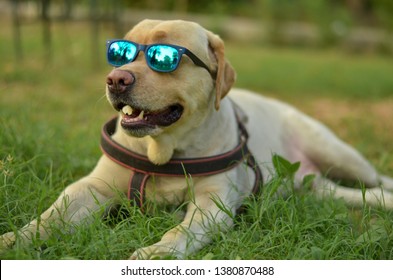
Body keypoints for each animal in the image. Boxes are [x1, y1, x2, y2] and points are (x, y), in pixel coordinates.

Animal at [0, 20, 392, 260]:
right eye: (120, 53)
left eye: (164, 59)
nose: (116, 79)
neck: (164, 152)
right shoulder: (91, 187)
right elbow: (50, 217)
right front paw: (15, 240)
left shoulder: (212, 204)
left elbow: (182, 231)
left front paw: (156, 253)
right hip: (319, 188)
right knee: (362, 194)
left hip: (339, 155)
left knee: (376, 180)